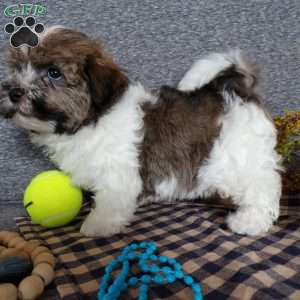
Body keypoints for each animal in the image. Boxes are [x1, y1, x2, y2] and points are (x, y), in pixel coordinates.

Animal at [0, 27, 282, 237]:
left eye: (54, 73)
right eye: (17, 68)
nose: (14, 92)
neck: (92, 119)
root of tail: (236, 90)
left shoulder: (118, 171)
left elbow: (111, 201)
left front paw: (97, 225)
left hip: (240, 157)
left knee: (262, 184)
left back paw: (250, 221)